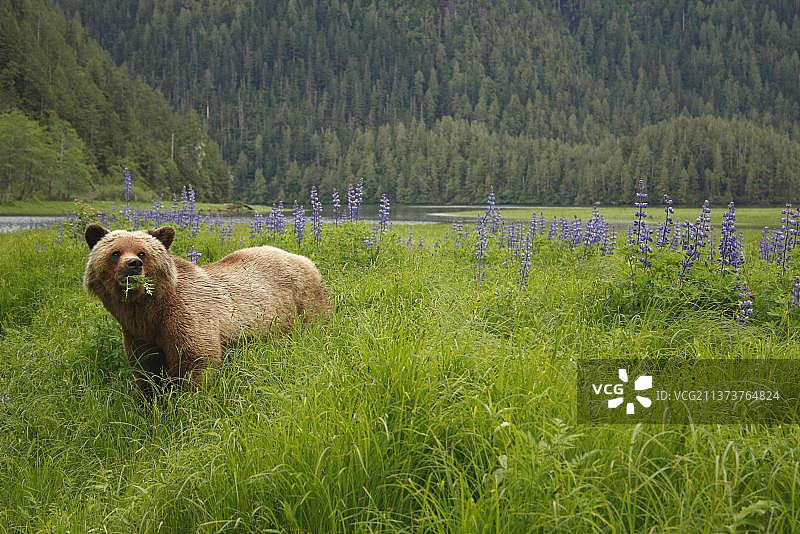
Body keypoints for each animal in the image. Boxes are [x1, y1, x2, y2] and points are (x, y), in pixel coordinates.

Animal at [83, 223, 331, 394]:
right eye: (115, 252)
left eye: (142, 252)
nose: (133, 265)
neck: (147, 308)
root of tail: (305, 259)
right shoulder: (139, 334)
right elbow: (147, 370)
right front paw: (150, 401)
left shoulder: (186, 317)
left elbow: (197, 361)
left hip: (305, 301)